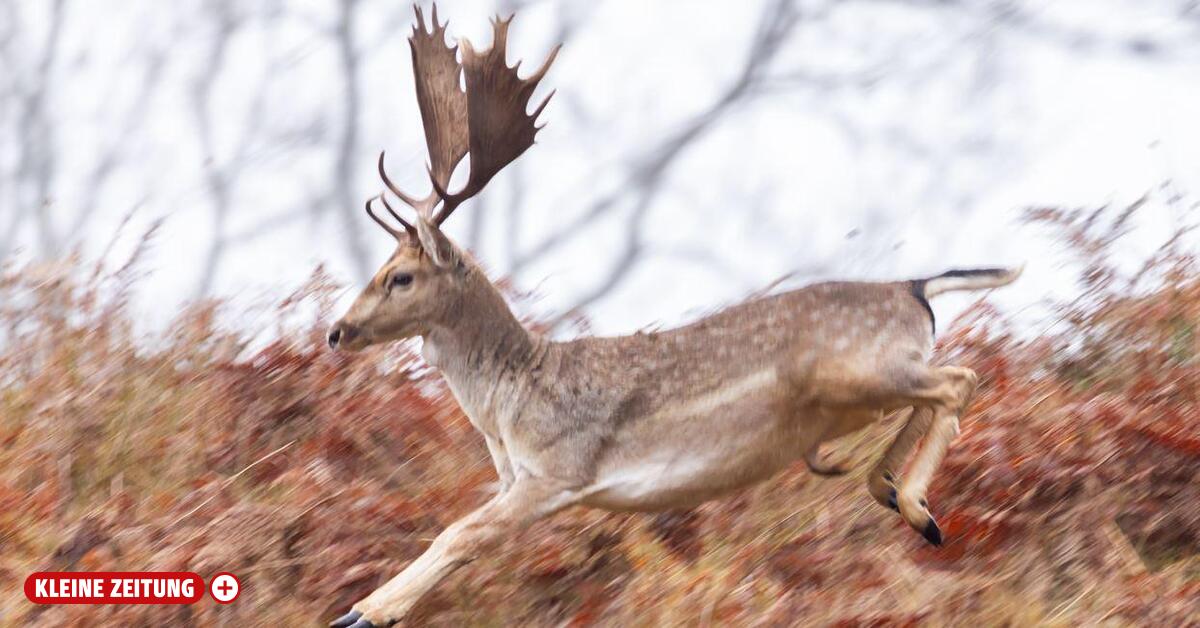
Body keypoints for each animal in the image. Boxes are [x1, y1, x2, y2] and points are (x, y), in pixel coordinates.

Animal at [325, 6, 1021, 627]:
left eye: (401, 275)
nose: (337, 331)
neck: (507, 413)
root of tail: (916, 289)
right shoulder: (518, 479)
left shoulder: (560, 469)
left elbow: (457, 534)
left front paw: (361, 612)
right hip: (867, 381)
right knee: (932, 393)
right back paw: (885, 488)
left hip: (854, 369)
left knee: (958, 379)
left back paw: (917, 511)